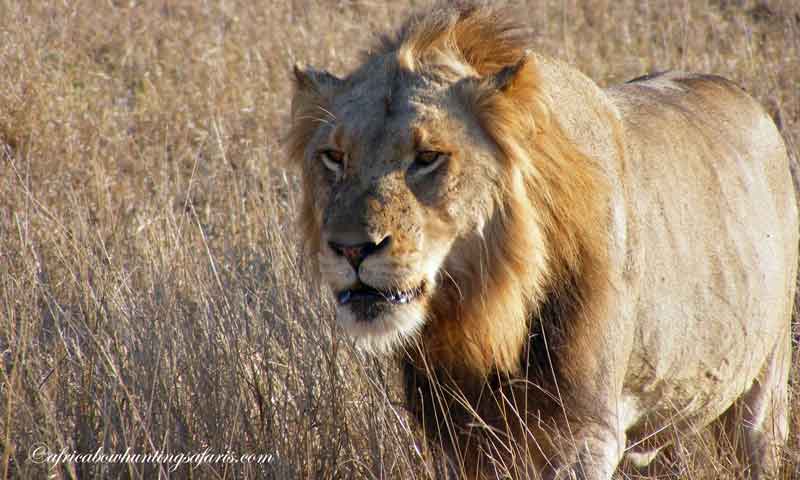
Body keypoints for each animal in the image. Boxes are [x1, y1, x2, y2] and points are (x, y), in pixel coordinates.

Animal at [288, 2, 797, 478]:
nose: (351, 249)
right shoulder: (456, 441)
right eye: (334, 157)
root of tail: (743, 96)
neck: (483, 314)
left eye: (428, 157)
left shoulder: (587, 435)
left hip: (763, 391)